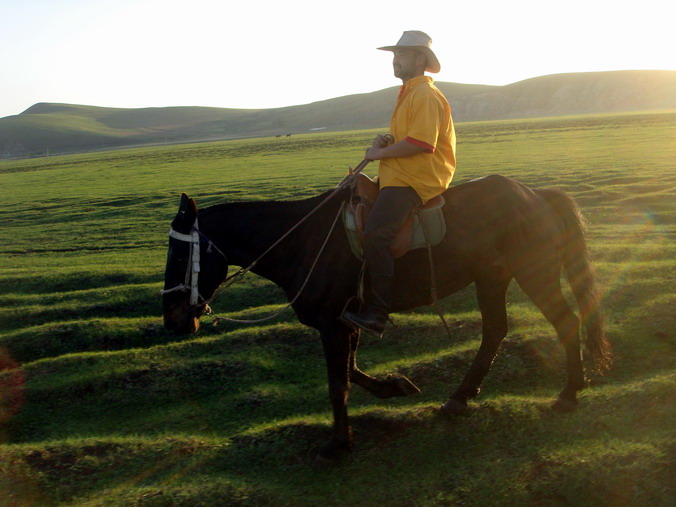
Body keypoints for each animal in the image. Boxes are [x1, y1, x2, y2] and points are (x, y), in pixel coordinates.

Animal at [164, 174, 612, 464]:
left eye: (182, 254)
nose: (172, 320)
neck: (300, 242)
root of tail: (536, 195)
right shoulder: (348, 322)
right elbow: (353, 371)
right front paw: (395, 387)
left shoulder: (333, 324)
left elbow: (338, 384)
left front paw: (338, 444)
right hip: (491, 278)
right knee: (495, 331)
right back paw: (460, 397)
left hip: (533, 273)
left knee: (565, 322)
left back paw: (569, 393)